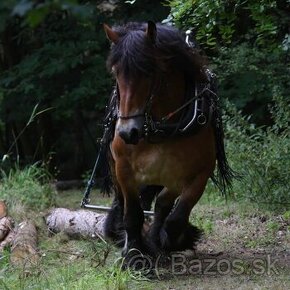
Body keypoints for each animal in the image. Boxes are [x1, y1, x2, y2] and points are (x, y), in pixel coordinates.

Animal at [102, 21, 233, 262]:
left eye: (149, 71)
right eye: (116, 73)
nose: (127, 132)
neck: (161, 127)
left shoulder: (196, 174)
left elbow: (175, 217)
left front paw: (165, 241)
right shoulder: (123, 169)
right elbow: (132, 213)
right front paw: (134, 254)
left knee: (163, 204)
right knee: (126, 202)